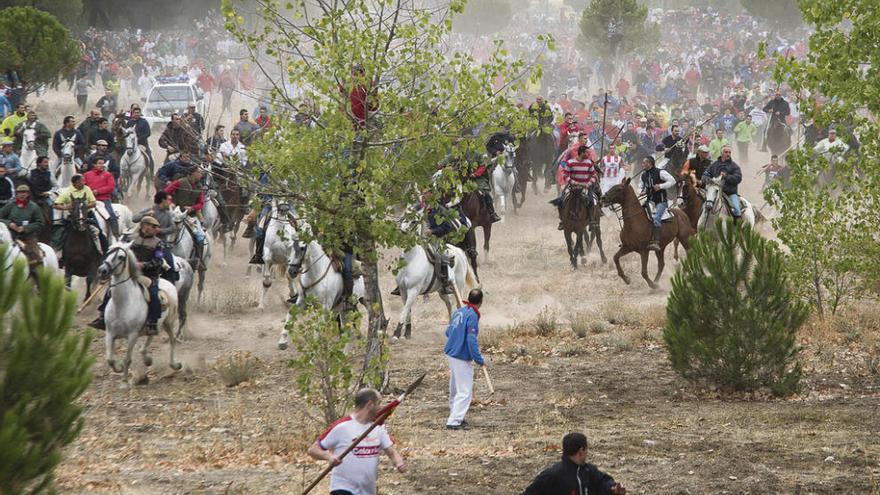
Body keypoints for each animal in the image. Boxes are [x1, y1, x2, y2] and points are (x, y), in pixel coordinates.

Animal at [97, 243, 181, 388]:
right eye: (108, 252)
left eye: (121, 257)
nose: (102, 270)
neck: (122, 304)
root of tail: (168, 283)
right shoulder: (109, 333)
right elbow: (109, 359)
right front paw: (118, 368)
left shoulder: (132, 335)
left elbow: (127, 359)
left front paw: (124, 382)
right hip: (155, 325)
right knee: (150, 337)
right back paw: (147, 359)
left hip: (168, 322)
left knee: (172, 340)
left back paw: (174, 364)